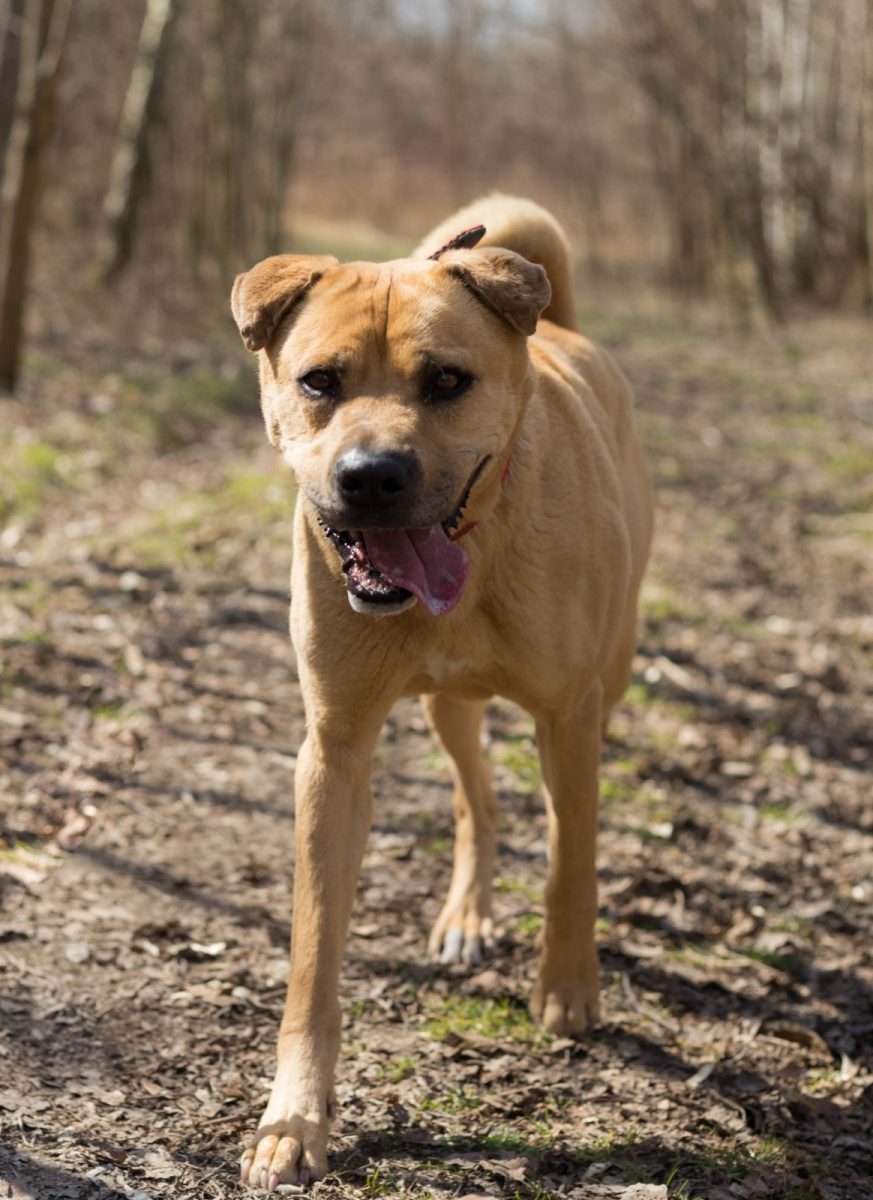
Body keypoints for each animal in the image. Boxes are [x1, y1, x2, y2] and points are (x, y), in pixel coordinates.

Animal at [229, 199, 652, 1190]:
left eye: (448, 381)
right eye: (319, 381)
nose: (370, 475)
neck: (477, 541)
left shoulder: (570, 714)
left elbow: (571, 858)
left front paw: (567, 988)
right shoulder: (334, 749)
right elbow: (314, 952)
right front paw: (293, 1119)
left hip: (608, 675)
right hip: (443, 705)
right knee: (475, 799)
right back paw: (466, 914)